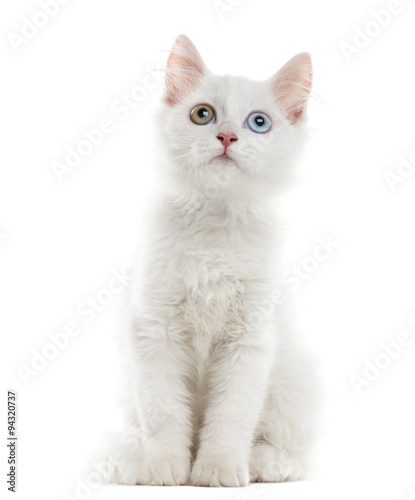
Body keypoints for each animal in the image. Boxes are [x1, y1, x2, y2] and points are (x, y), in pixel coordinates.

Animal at [105, 34, 322, 484]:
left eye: (259, 123)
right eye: (202, 114)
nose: (225, 137)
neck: (215, 223)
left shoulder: (250, 337)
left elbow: (231, 416)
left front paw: (219, 469)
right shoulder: (154, 330)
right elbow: (163, 413)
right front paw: (164, 468)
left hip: (295, 385)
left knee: (295, 453)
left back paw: (264, 463)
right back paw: (127, 462)